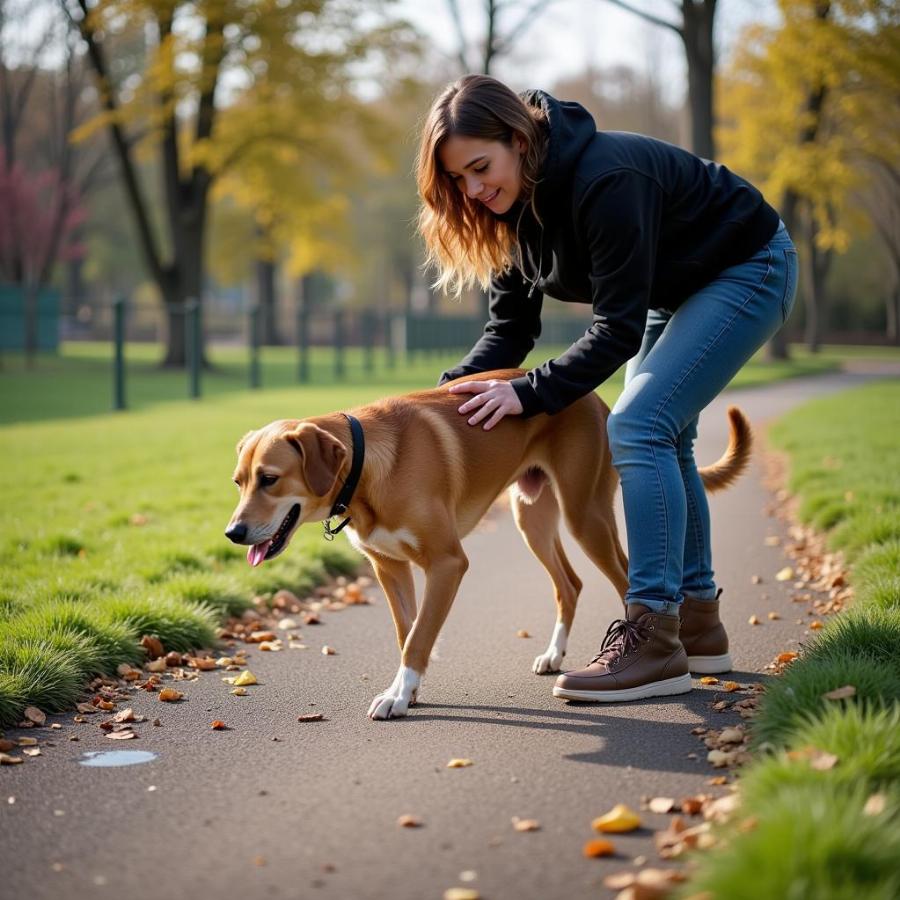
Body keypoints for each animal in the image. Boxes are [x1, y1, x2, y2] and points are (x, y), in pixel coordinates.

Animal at [227, 370, 752, 720]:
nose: (233, 533)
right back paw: (555, 656)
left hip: (586, 517)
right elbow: (407, 632)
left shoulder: (447, 564)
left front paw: (399, 694)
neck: (367, 466)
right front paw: (406, 689)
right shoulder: (390, 569)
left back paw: (652, 663)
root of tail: (596, 400)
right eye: (238, 482)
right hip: (531, 518)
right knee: (570, 584)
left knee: (626, 579)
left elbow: (419, 635)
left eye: (269, 479)